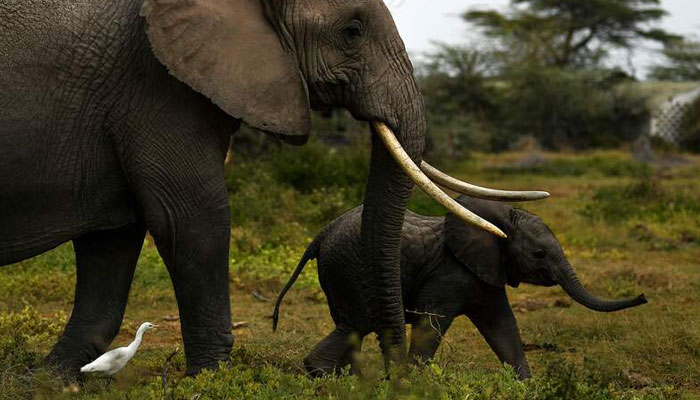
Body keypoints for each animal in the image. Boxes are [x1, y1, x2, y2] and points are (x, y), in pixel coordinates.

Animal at [0, 0, 549, 376]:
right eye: (351, 31)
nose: (397, 373)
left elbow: (113, 236)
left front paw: (57, 378)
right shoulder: (154, 84)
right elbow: (192, 218)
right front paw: (210, 378)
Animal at [272, 196, 647, 379]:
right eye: (539, 254)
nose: (644, 297)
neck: (498, 221)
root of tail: (320, 235)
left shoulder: (486, 272)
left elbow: (502, 326)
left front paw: (526, 385)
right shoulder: (450, 273)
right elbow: (432, 323)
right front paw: (416, 384)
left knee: (349, 326)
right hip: (351, 268)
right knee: (356, 324)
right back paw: (328, 378)